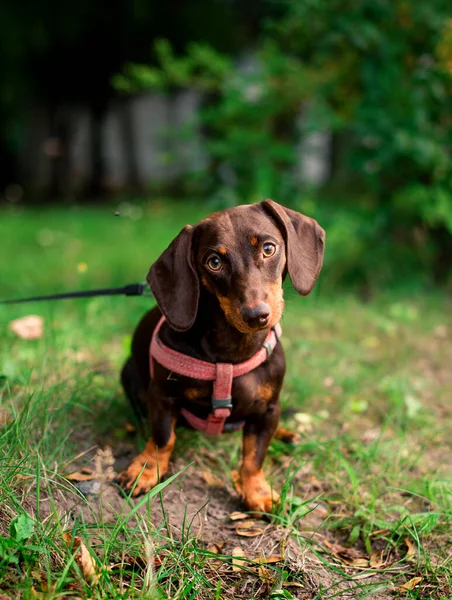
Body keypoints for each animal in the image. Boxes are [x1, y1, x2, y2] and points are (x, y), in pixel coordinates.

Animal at [118, 199, 324, 512]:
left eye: (269, 248)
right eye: (214, 262)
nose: (256, 315)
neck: (230, 352)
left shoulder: (268, 409)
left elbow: (253, 456)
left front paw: (257, 492)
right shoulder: (162, 397)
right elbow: (163, 438)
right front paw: (145, 470)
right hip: (128, 372)